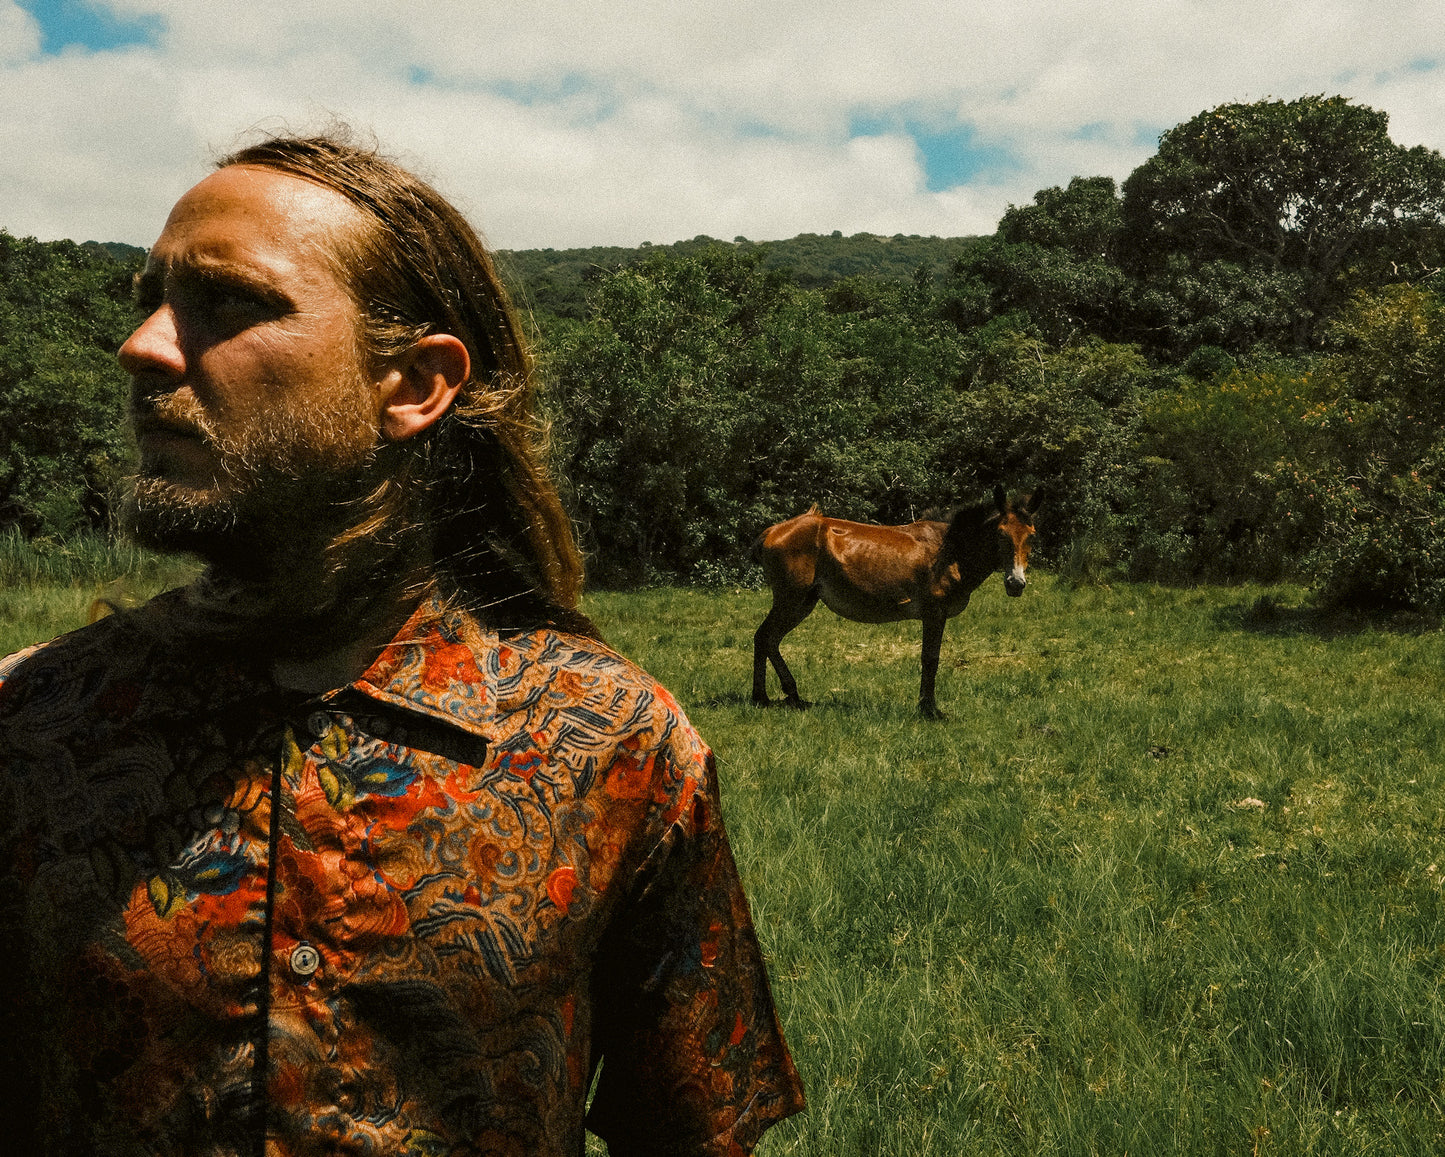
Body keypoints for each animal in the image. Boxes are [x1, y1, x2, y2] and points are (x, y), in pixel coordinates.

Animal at [751, 482, 1046, 716]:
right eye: (1000, 534)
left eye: (1032, 536)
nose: (1016, 583)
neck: (952, 551)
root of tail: (771, 531)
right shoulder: (934, 613)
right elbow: (930, 659)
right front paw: (929, 709)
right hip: (791, 599)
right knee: (764, 636)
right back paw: (765, 697)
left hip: (803, 602)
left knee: (769, 639)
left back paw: (784, 696)